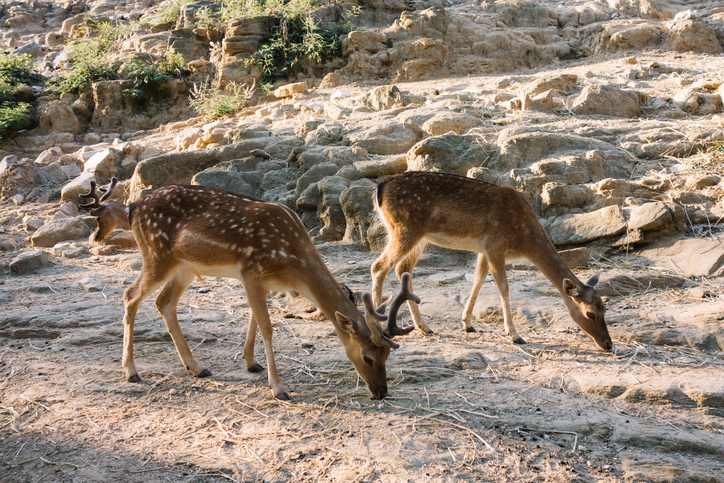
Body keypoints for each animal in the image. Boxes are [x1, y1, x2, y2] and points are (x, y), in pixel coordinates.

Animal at [80, 182, 422, 400]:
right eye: (368, 358)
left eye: (388, 354)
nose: (381, 392)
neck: (294, 264)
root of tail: (133, 207)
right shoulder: (252, 272)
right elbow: (268, 327)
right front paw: (279, 388)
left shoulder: (261, 281)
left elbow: (255, 320)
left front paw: (250, 363)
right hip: (157, 255)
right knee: (130, 295)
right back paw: (131, 371)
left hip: (184, 266)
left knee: (164, 302)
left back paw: (197, 367)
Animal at [370, 172, 612, 354]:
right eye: (590, 313)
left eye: (605, 308)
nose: (608, 344)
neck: (525, 239)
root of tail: (379, 188)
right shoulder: (496, 244)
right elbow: (503, 286)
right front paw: (515, 335)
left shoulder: (484, 249)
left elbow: (479, 278)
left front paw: (467, 324)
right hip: (404, 229)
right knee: (378, 267)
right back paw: (379, 328)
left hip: (418, 237)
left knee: (402, 269)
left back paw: (425, 328)